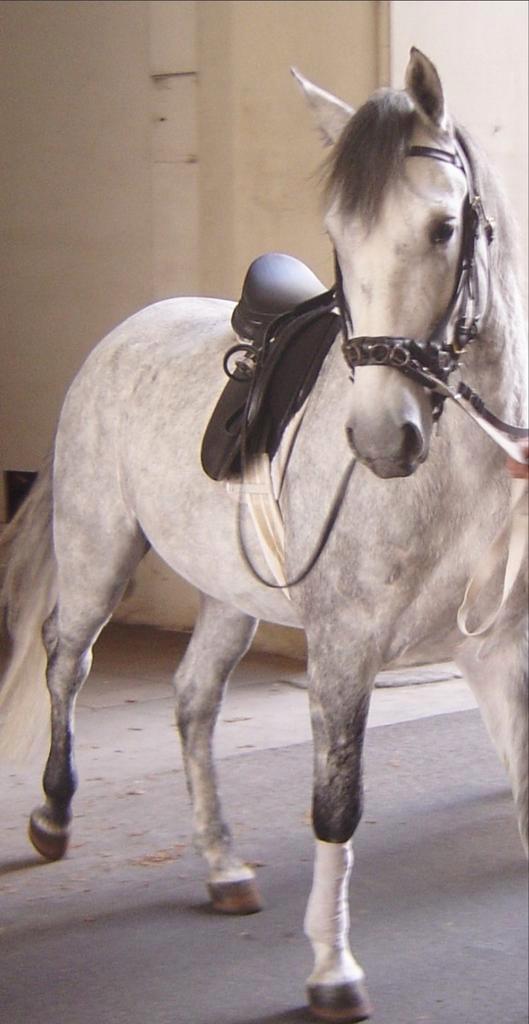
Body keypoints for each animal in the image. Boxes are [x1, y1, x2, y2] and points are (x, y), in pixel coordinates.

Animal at [1, 48, 527, 1024]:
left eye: (443, 228)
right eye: (337, 236)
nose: (380, 438)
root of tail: (121, 334)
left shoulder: (497, 651)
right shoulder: (343, 648)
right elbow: (335, 806)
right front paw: (331, 969)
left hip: (227, 593)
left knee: (191, 700)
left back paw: (221, 866)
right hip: (97, 557)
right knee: (66, 662)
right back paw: (53, 815)